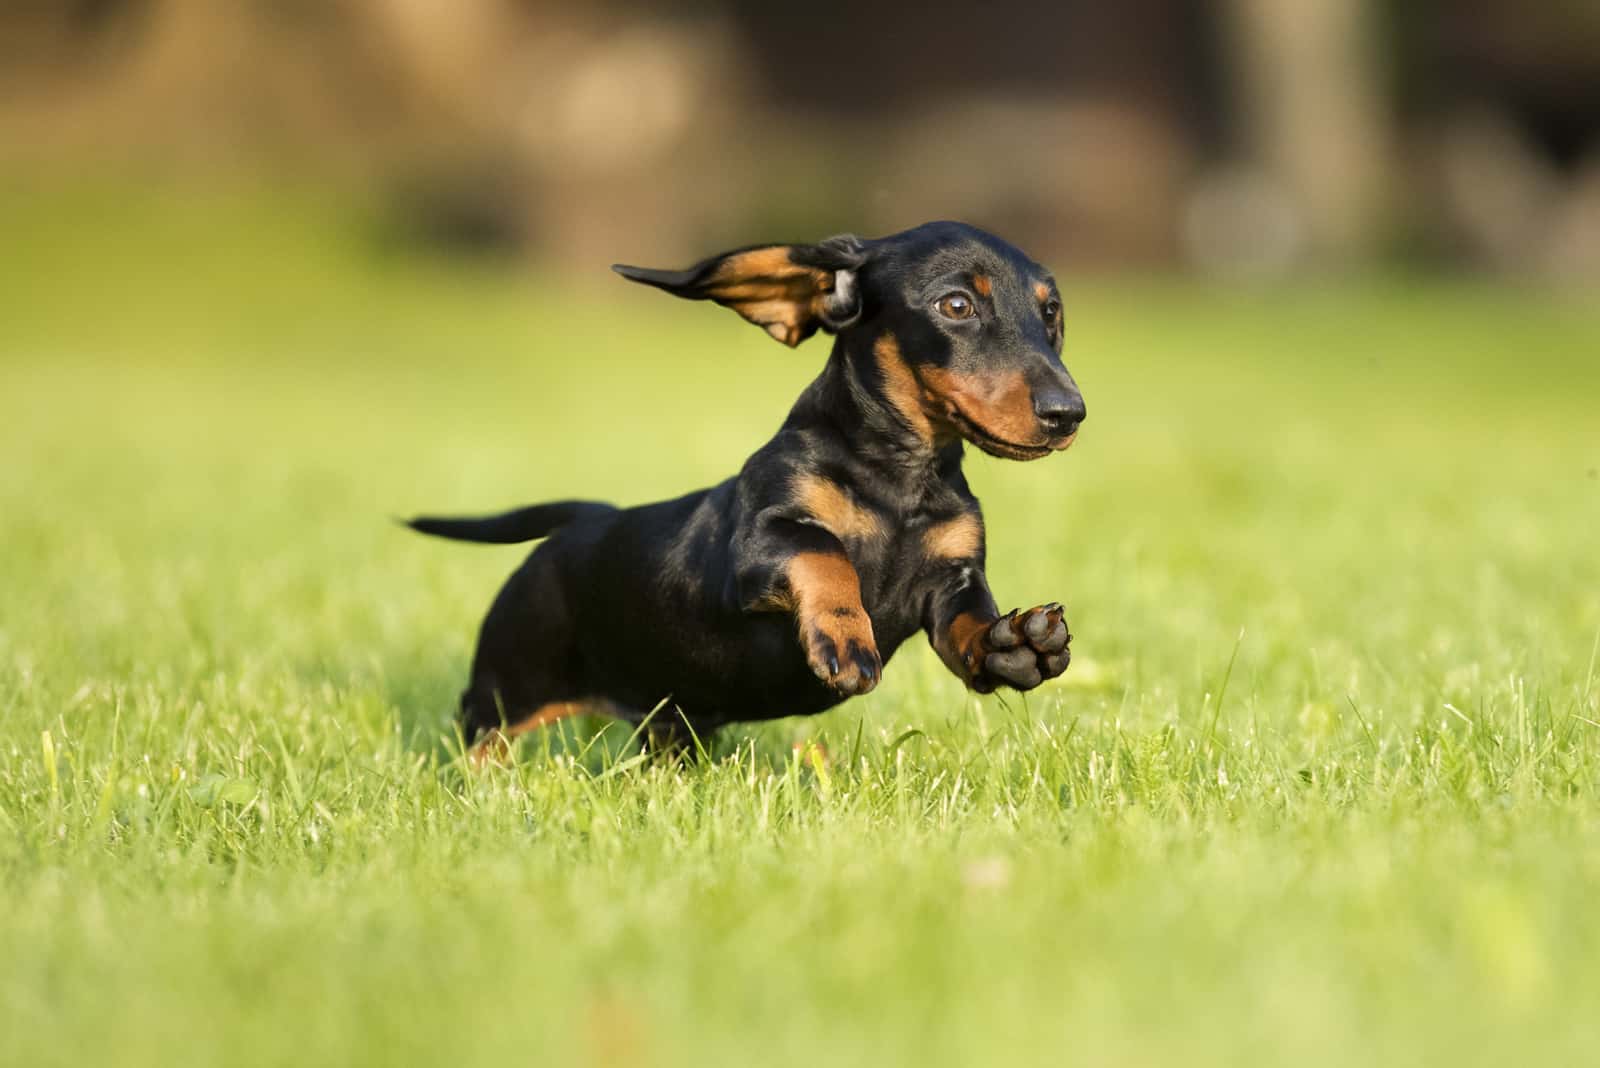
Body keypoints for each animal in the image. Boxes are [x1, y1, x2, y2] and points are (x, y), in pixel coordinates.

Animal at [409, 220, 1088, 754]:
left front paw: (1015, 642)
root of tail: (589, 519)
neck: (899, 480)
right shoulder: (761, 545)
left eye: (1050, 312)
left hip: (670, 717)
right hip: (508, 684)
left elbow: (969, 625)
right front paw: (845, 635)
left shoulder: (952, 580)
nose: (1069, 414)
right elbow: (824, 551)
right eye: (956, 306)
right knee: (479, 735)